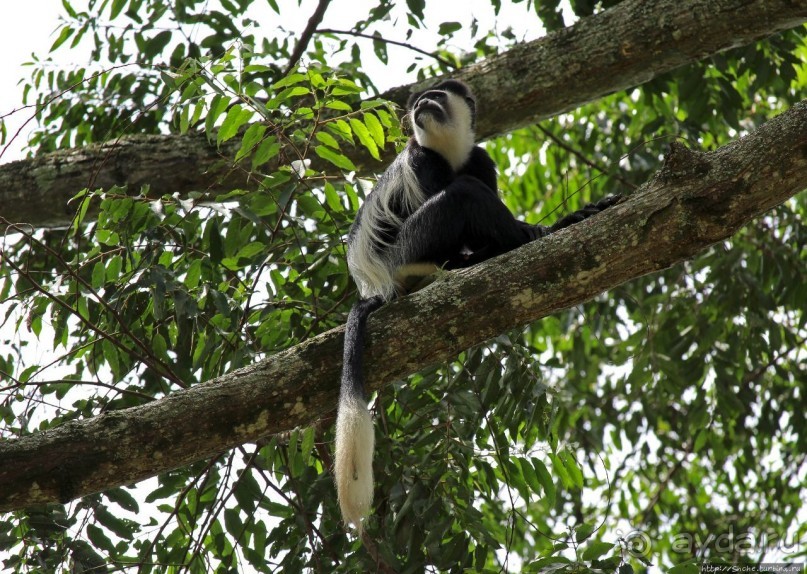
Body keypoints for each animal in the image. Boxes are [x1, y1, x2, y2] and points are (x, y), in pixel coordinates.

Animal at [334, 79, 620, 532]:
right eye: (420, 101)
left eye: (434, 97)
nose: (421, 103)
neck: (449, 151)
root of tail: (373, 285)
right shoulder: (420, 160)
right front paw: (533, 231)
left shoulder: (480, 159)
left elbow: (482, 179)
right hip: (407, 251)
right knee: (462, 197)